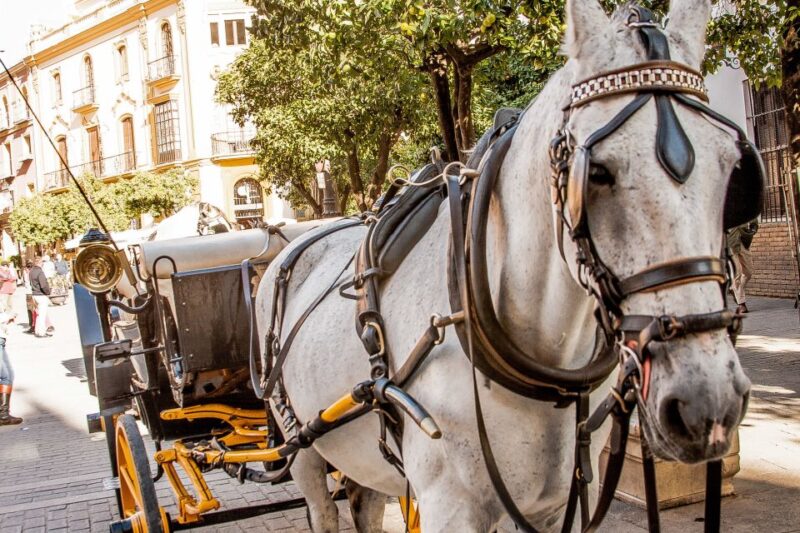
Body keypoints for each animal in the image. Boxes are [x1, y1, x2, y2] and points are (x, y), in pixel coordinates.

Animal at [254, 0, 754, 530]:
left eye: (733, 170)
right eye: (596, 172)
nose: (707, 403)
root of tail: (292, 243)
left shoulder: (555, 505)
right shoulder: (447, 506)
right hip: (299, 441)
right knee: (320, 502)